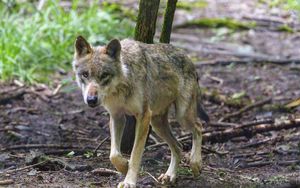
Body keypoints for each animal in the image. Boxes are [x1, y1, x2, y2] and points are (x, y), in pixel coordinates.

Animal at [72, 36, 209, 187]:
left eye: (104, 75)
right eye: (85, 74)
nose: (91, 100)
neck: (123, 83)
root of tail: (189, 59)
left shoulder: (143, 117)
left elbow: (135, 155)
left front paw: (129, 181)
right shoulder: (116, 116)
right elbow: (114, 155)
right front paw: (124, 167)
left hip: (181, 116)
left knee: (198, 127)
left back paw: (195, 163)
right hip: (157, 124)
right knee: (178, 146)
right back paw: (170, 175)